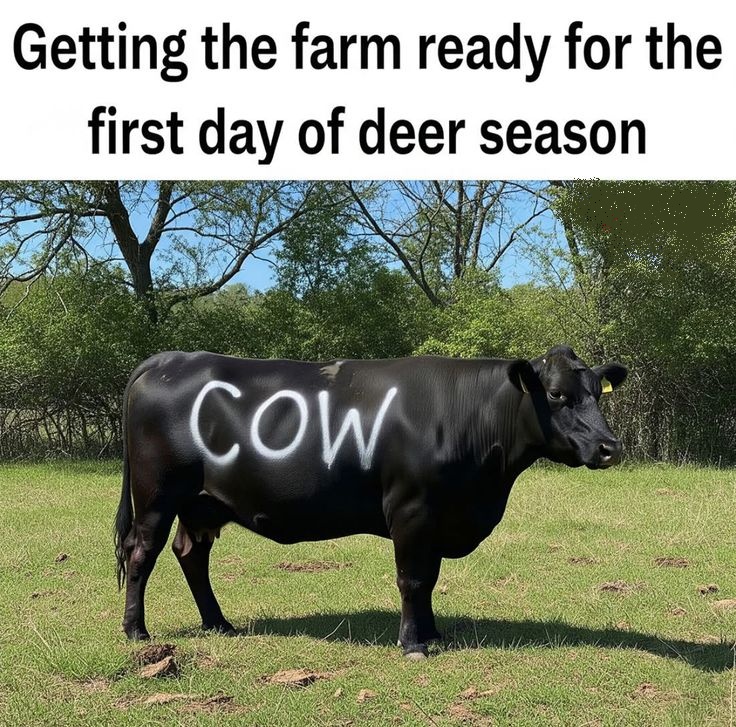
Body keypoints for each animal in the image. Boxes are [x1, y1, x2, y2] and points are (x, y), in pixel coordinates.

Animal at [114, 345, 627, 659]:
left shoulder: (436, 519)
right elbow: (412, 579)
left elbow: (429, 579)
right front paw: (412, 644)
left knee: (191, 554)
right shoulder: (412, 509)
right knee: (143, 553)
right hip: (158, 495)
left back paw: (218, 623)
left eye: (595, 395)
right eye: (556, 395)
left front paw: (432, 633)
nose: (609, 447)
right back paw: (137, 631)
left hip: (201, 503)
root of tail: (166, 360)